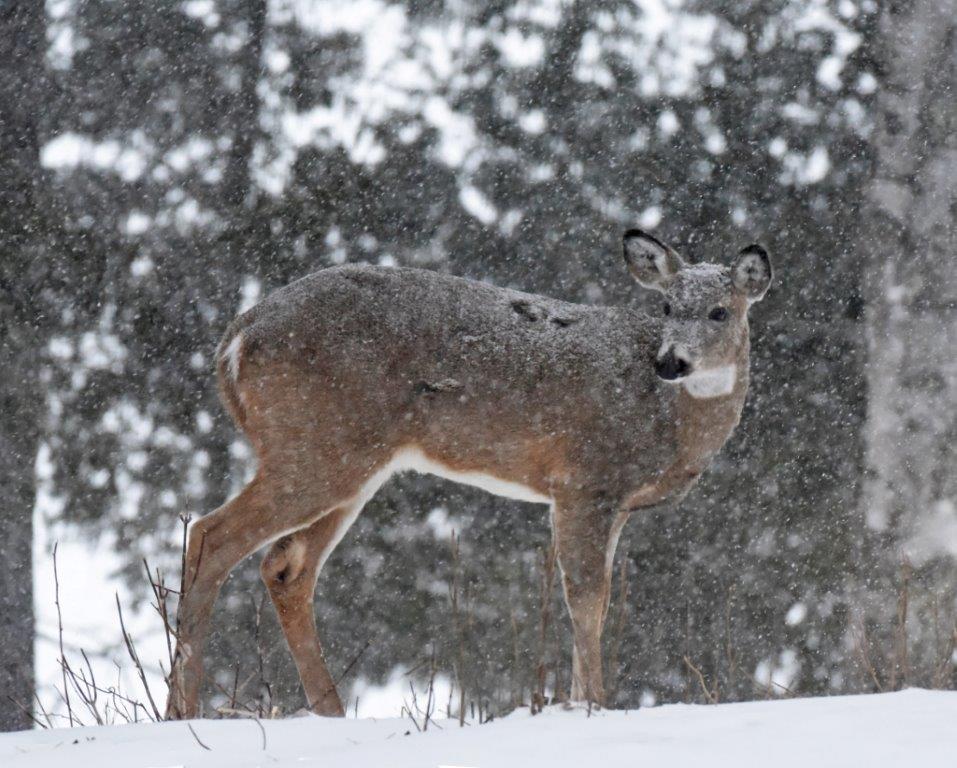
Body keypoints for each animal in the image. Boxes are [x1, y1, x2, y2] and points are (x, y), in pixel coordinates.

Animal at [165, 229, 772, 719]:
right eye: (666, 305)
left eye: (720, 311)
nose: (671, 362)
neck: (669, 420)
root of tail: (235, 340)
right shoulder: (584, 479)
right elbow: (586, 598)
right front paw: (592, 707)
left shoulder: (613, 503)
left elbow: (593, 598)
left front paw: (581, 703)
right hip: (317, 445)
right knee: (211, 536)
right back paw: (182, 712)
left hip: (351, 462)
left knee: (287, 568)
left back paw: (328, 713)